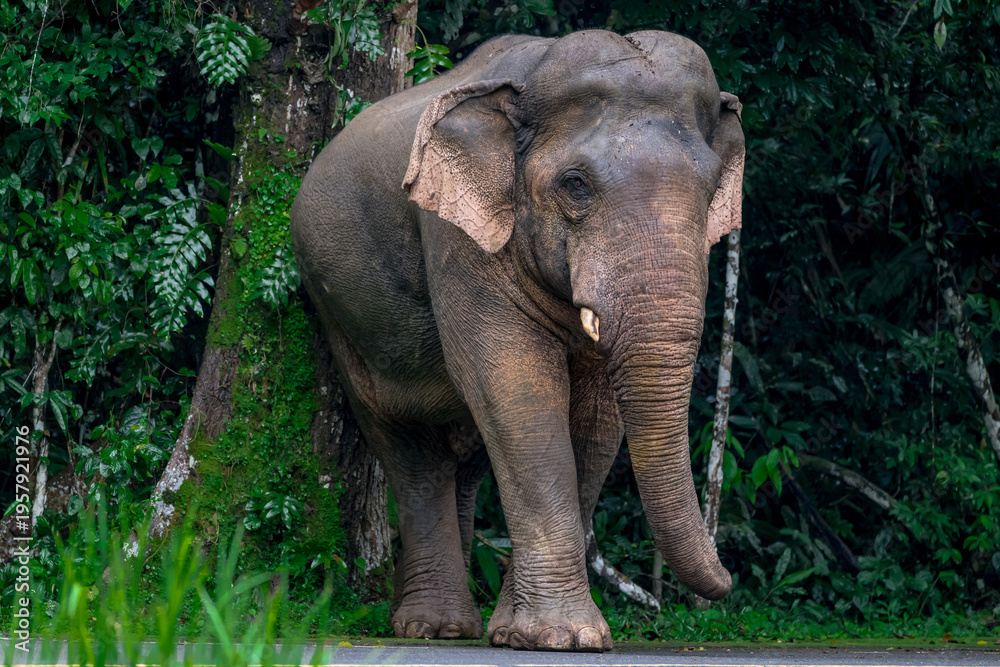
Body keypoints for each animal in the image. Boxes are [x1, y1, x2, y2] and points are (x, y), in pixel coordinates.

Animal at [290, 29, 744, 652]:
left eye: (711, 189)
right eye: (575, 186)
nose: (729, 580)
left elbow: (597, 420)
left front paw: (531, 634)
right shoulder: (456, 237)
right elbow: (515, 388)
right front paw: (560, 638)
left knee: (465, 458)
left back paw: (448, 626)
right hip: (338, 313)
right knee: (410, 450)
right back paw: (431, 627)